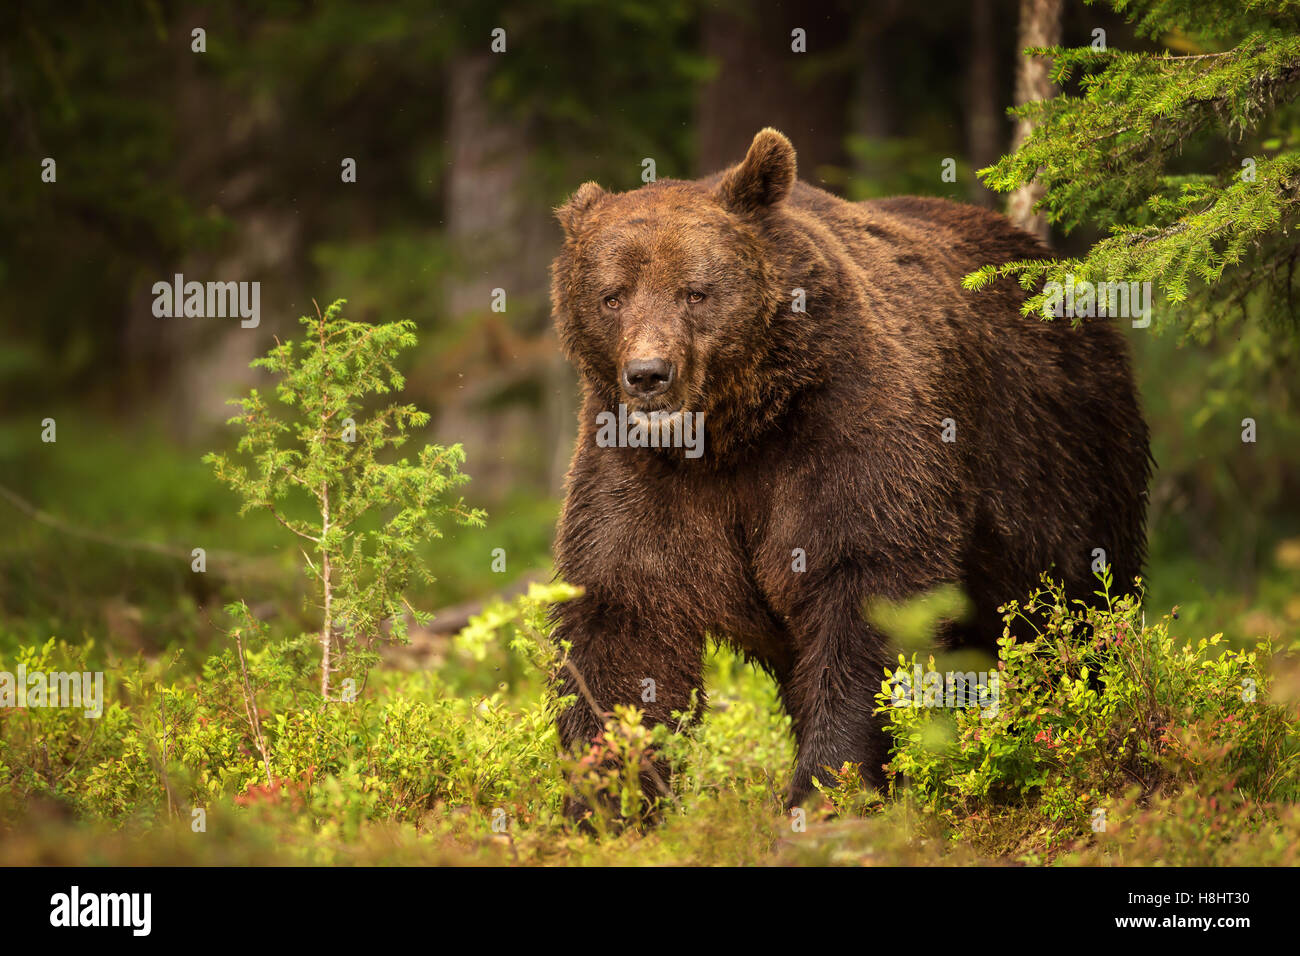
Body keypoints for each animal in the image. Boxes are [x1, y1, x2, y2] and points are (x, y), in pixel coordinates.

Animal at [548, 128, 1150, 809]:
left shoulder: (848, 426)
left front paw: (828, 783)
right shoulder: (641, 469)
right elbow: (626, 616)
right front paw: (610, 795)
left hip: (1060, 460)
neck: (736, 429)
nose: (648, 375)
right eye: (612, 296)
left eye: (695, 291)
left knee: (1073, 604)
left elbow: (865, 581)